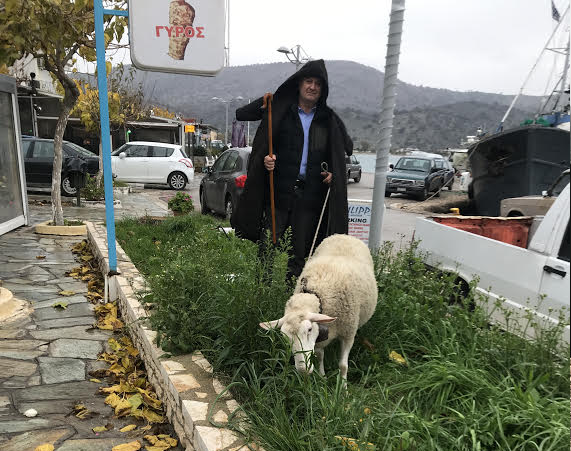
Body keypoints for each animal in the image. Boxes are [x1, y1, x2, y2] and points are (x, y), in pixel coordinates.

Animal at [260, 235, 378, 380]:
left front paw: (343, 385)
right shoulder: (319, 338)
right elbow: (320, 356)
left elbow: (343, 366)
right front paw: (322, 377)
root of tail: (344, 235)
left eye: (309, 329)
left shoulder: (348, 334)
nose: (303, 371)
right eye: (284, 337)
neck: (318, 294)